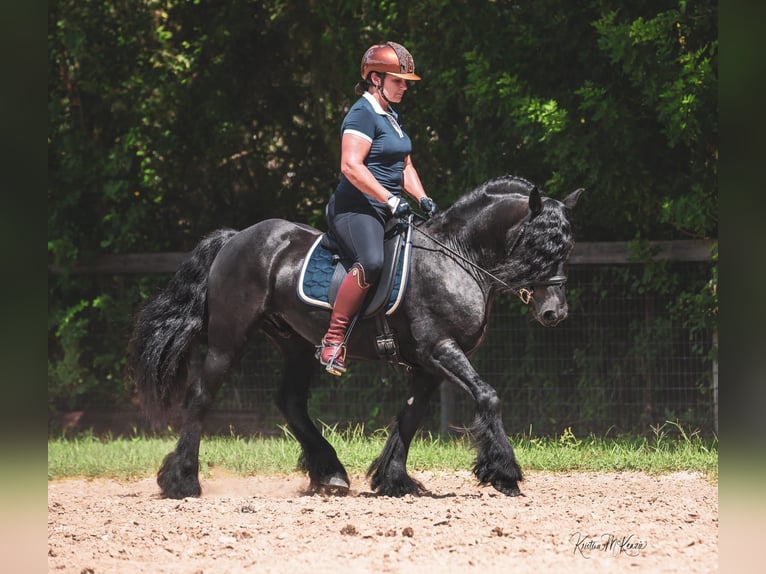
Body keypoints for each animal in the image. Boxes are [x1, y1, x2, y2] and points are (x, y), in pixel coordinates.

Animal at [127, 174, 584, 500]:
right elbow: (487, 395)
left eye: (566, 247)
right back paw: (182, 482)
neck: (456, 255)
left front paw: (394, 480)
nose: (554, 313)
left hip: (296, 343)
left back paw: (330, 473)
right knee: (202, 396)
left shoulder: (427, 365)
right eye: (538, 246)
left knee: (290, 401)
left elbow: (410, 417)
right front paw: (504, 473)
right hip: (228, 339)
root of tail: (235, 238)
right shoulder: (440, 350)